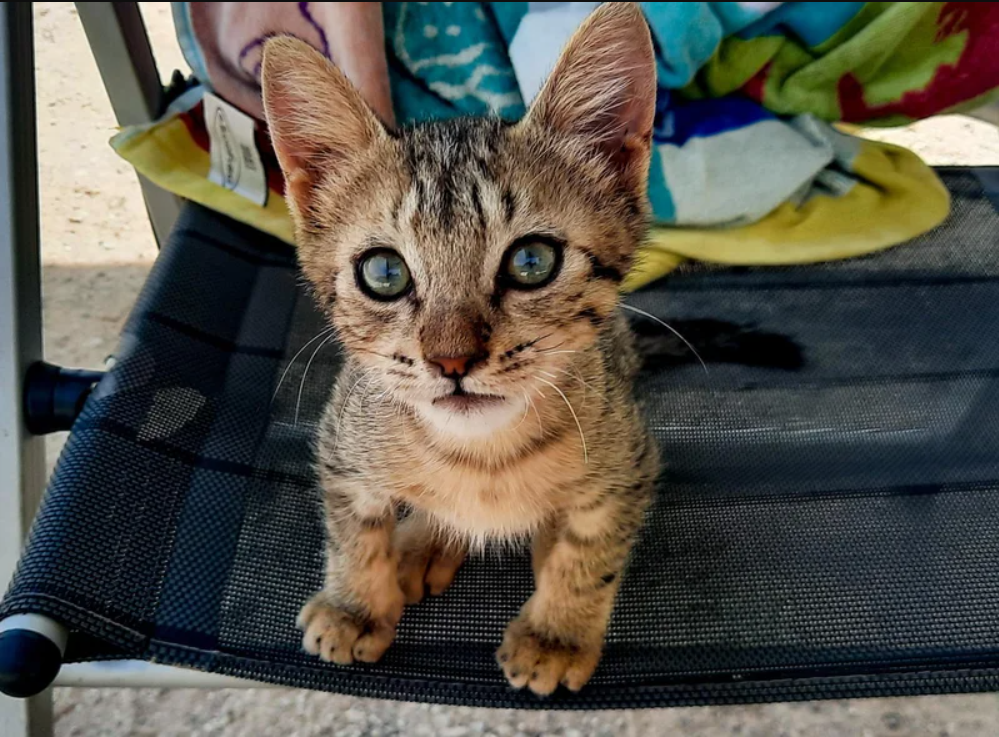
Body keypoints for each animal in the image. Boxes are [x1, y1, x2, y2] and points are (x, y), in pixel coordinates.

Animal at [262, 2, 660, 692]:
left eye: (532, 261)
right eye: (384, 273)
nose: (451, 360)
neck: (481, 460)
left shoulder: (628, 463)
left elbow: (591, 550)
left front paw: (557, 633)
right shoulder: (342, 443)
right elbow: (352, 530)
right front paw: (354, 605)